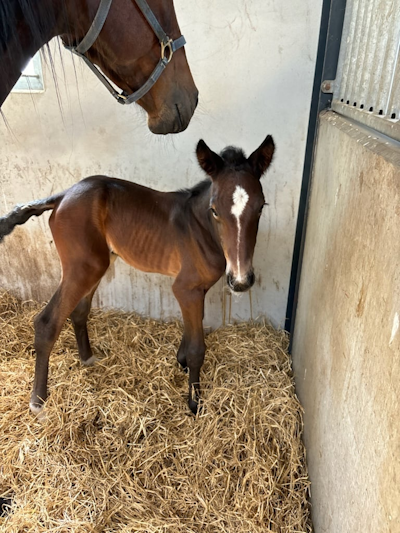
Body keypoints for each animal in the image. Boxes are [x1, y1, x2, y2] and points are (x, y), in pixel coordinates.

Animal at [0, 134, 275, 415]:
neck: (200, 228)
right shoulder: (185, 288)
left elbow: (192, 328)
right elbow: (198, 347)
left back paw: (88, 358)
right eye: (215, 210)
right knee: (47, 323)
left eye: (260, 207)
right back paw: (38, 402)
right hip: (84, 267)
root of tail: (63, 195)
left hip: (98, 263)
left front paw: (181, 361)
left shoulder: (197, 289)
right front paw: (194, 402)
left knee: (79, 311)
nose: (240, 281)